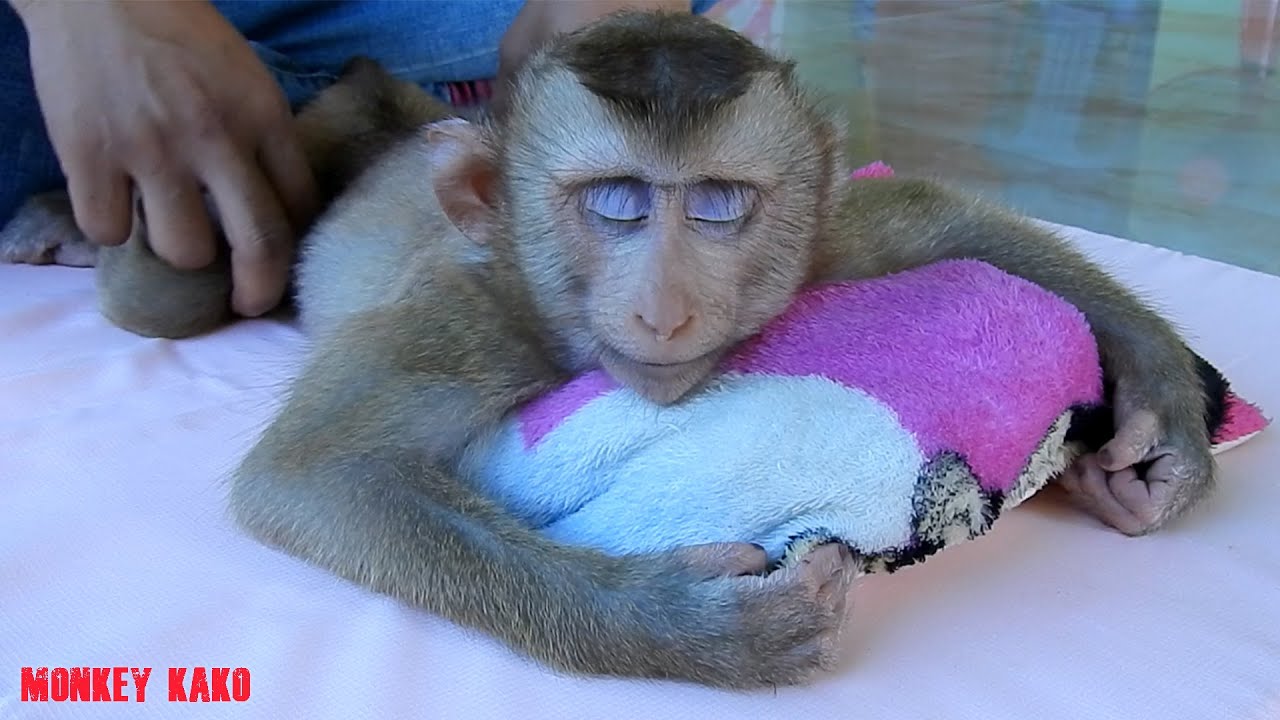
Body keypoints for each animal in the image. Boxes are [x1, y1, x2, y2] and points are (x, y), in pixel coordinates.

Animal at [0, 12, 1215, 689]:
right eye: (617, 203)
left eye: (719, 204)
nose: (667, 310)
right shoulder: (471, 316)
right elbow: (311, 473)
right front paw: (677, 630)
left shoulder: (821, 243)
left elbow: (929, 217)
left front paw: (1161, 406)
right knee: (166, 289)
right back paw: (74, 222)